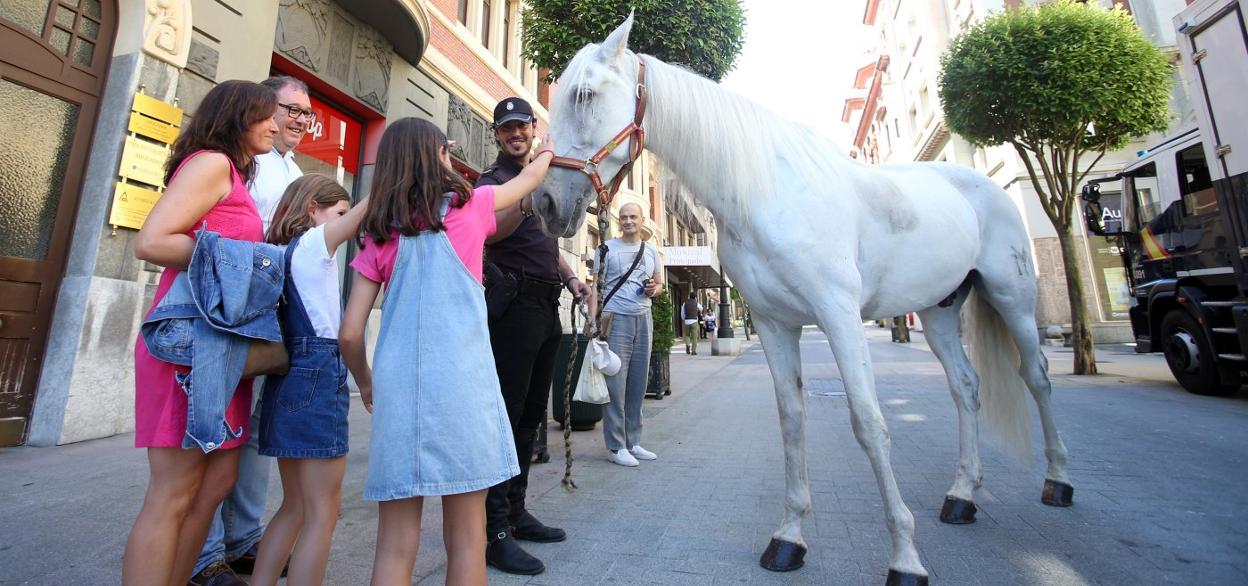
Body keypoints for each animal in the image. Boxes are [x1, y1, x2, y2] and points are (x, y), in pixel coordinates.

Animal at [534, 16, 1073, 583]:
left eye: (585, 94)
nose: (546, 202)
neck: (766, 191)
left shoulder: (839, 316)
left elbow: (869, 422)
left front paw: (905, 558)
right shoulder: (774, 323)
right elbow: (792, 420)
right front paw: (789, 539)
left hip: (1012, 297)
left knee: (1036, 377)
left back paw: (1057, 482)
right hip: (939, 309)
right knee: (965, 387)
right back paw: (962, 496)